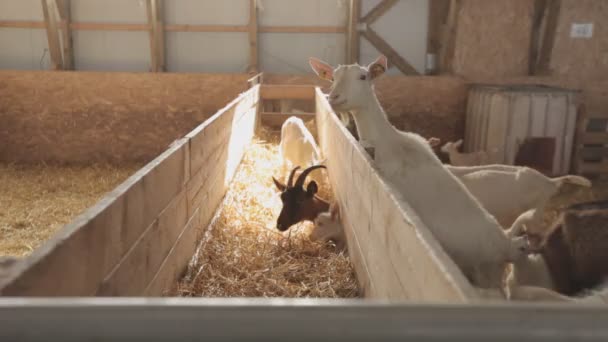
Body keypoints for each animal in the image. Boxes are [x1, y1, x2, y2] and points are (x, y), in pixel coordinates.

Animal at [312, 55, 528, 288]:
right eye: (333, 77)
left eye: (363, 76)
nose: (334, 97)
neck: (390, 143)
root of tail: (506, 244)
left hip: (487, 273)